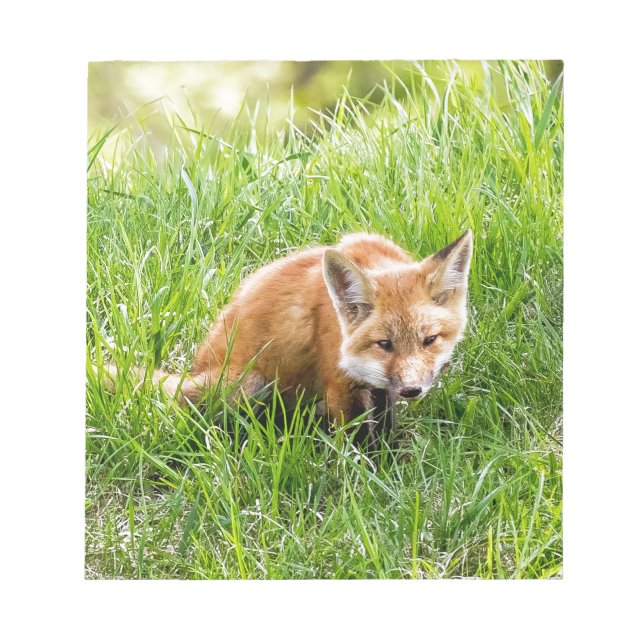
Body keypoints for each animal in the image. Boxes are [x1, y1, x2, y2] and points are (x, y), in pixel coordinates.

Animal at [99, 230, 473, 439]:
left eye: (429, 340)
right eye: (385, 344)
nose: (412, 390)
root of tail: (197, 368)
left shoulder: (380, 388)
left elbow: (385, 428)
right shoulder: (338, 384)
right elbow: (354, 443)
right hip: (248, 384)